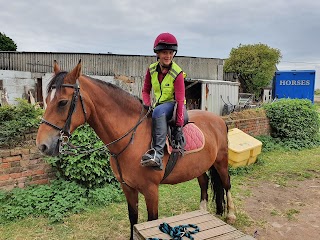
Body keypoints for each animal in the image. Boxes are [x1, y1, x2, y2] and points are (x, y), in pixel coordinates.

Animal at [37, 61, 235, 239]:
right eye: (46, 100)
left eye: (63, 102)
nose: (42, 145)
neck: (132, 138)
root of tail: (218, 119)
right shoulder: (128, 188)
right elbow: (133, 219)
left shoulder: (151, 190)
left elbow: (152, 221)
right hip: (199, 166)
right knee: (204, 182)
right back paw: (202, 211)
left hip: (221, 162)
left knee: (226, 183)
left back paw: (231, 214)